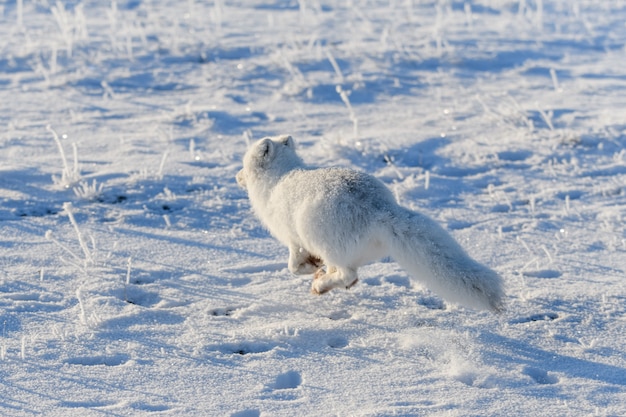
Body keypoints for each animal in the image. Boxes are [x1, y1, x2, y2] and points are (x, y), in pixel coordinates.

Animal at [236, 135, 504, 310]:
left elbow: (292, 265)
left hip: (323, 239)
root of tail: (380, 209)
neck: (279, 178)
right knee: (347, 273)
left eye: (244, 165)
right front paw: (314, 266)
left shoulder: (292, 238)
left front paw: (310, 268)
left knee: (349, 275)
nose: (237, 176)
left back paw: (321, 284)